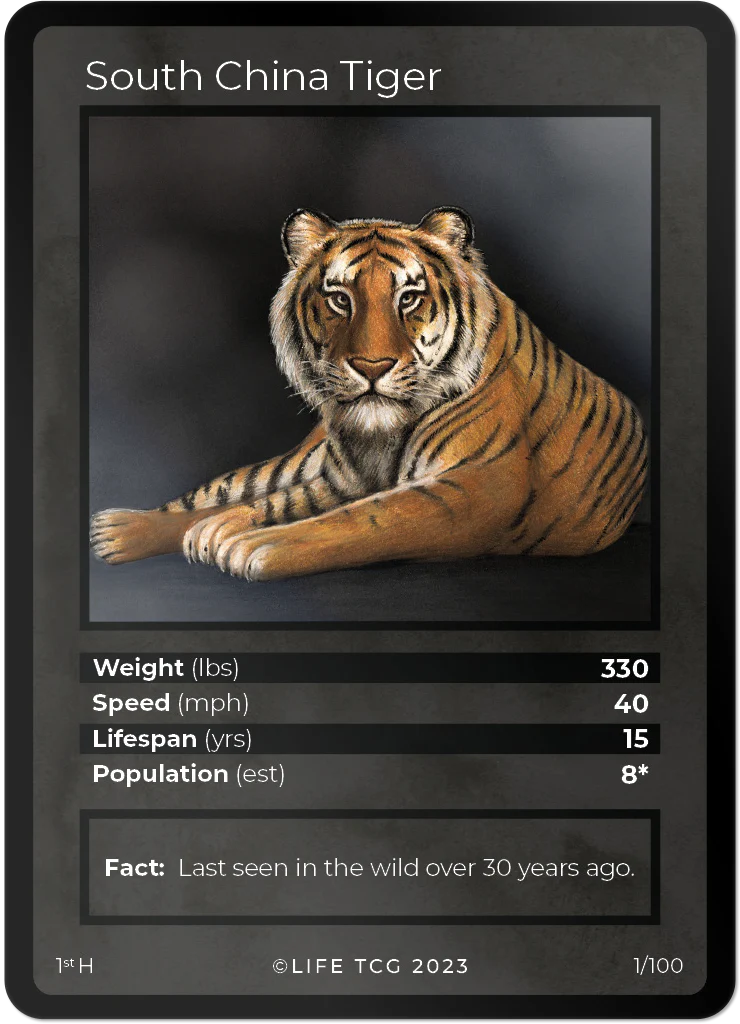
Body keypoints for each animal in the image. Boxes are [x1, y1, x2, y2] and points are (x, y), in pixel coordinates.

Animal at [90, 206, 648, 582]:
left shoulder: (473, 490)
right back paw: (115, 531)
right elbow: (270, 504)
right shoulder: (341, 479)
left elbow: (360, 520)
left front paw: (245, 547)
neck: (379, 438)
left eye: (410, 298)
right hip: (297, 460)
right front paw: (217, 531)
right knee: (223, 491)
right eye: (340, 299)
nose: (372, 367)